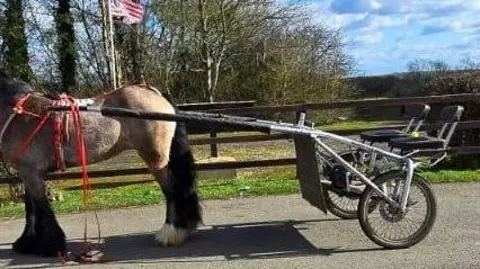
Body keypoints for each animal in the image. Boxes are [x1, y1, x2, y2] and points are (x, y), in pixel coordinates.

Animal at [0, 72, 201, 256]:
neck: (19, 113)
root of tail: (155, 93)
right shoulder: (27, 173)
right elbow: (31, 210)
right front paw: (26, 244)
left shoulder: (31, 173)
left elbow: (41, 209)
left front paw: (49, 246)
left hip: (156, 160)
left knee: (172, 191)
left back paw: (171, 233)